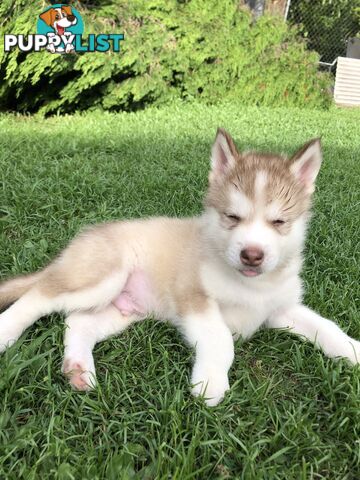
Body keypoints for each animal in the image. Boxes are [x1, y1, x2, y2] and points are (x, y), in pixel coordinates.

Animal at [0, 128, 358, 404]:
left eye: (279, 222)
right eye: (232, 217)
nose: (252, 255)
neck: (251, 285)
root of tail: (82, 239)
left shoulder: (280, 308)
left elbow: (325, 326)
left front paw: (352, 349)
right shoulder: (195, 298)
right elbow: (221, 340)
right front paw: (211, 383)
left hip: (121, 309)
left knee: (77, 322)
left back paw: (78, 368)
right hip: (99, 277)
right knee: (37, 297)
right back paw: (7, 332)